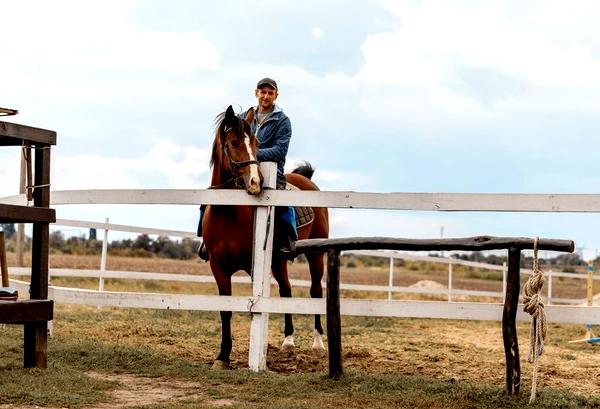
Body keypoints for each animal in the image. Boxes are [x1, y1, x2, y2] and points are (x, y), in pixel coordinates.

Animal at [204, 106, 330, 370]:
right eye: (233, 143)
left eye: (255, 142)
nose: (256, 182)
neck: (228, 212)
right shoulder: (218, 267)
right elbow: (225, 309)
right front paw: (222, 356)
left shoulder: (255, 267)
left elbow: (256, 309)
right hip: (278, 261)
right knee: (286, 290)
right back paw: (289, 340)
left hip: (316, 254)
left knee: (315, 291)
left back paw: (317, 343)